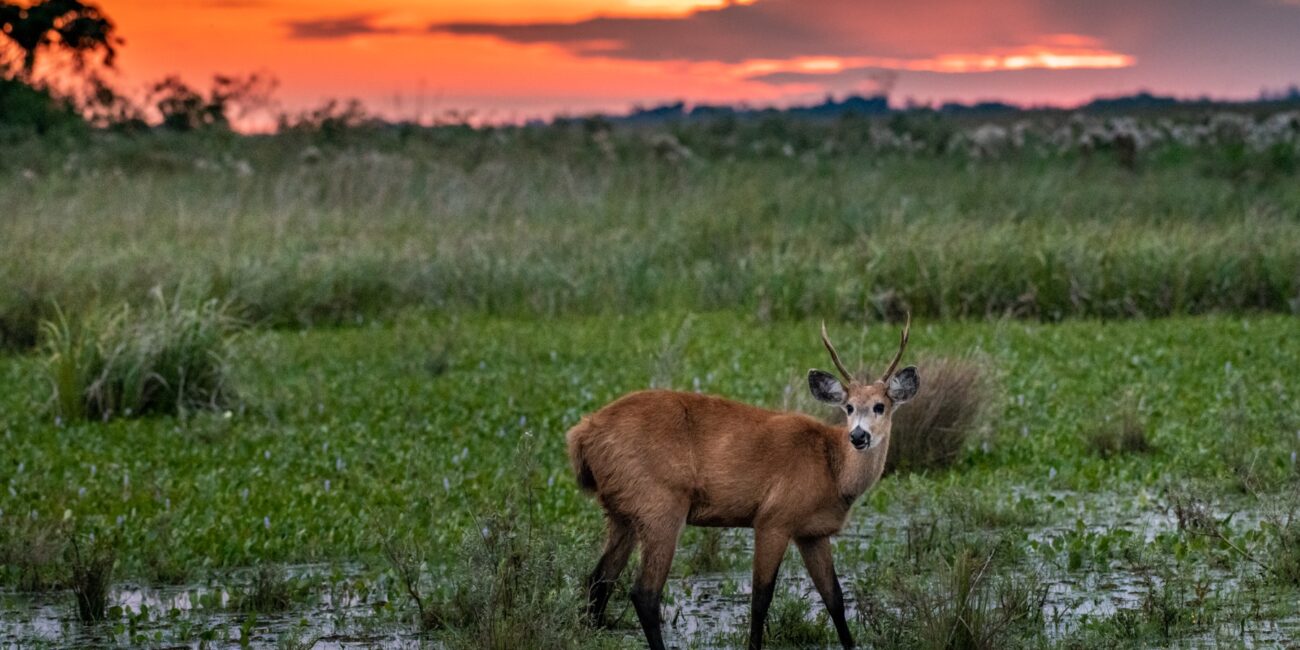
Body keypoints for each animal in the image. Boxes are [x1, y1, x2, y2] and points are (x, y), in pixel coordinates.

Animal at [564, 315, 920, 650]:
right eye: (848, 407)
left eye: (880, 406)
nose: (858, 436)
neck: (833, 470)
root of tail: (581, 434)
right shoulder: (773, 518)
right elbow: (761, 598)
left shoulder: (812, 532)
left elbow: (834, 598)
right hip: (660, 505)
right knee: (644, 592)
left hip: (622, 512)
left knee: (598, 581)